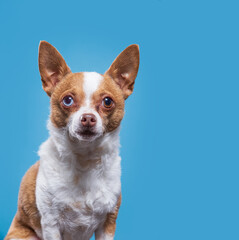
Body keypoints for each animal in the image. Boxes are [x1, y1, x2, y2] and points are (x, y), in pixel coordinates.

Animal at [5, 41, 140, 240]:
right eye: (68, 100)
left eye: (108, 101)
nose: (88, 118)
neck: (85, 160)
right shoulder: (51, 224)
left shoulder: (108, 223)